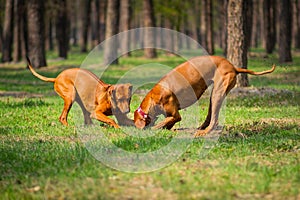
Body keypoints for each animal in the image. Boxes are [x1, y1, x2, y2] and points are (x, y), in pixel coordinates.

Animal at [135, 55, 276, 137]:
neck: (153, 98)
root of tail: (234, 67)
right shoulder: (170, 116)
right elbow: (166, 123)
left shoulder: (175, 115)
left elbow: (160, 124)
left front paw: (152, 129)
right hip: (214, 95)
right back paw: (201, 127)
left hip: (218, 92)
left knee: (215, 120)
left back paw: (204, 132)